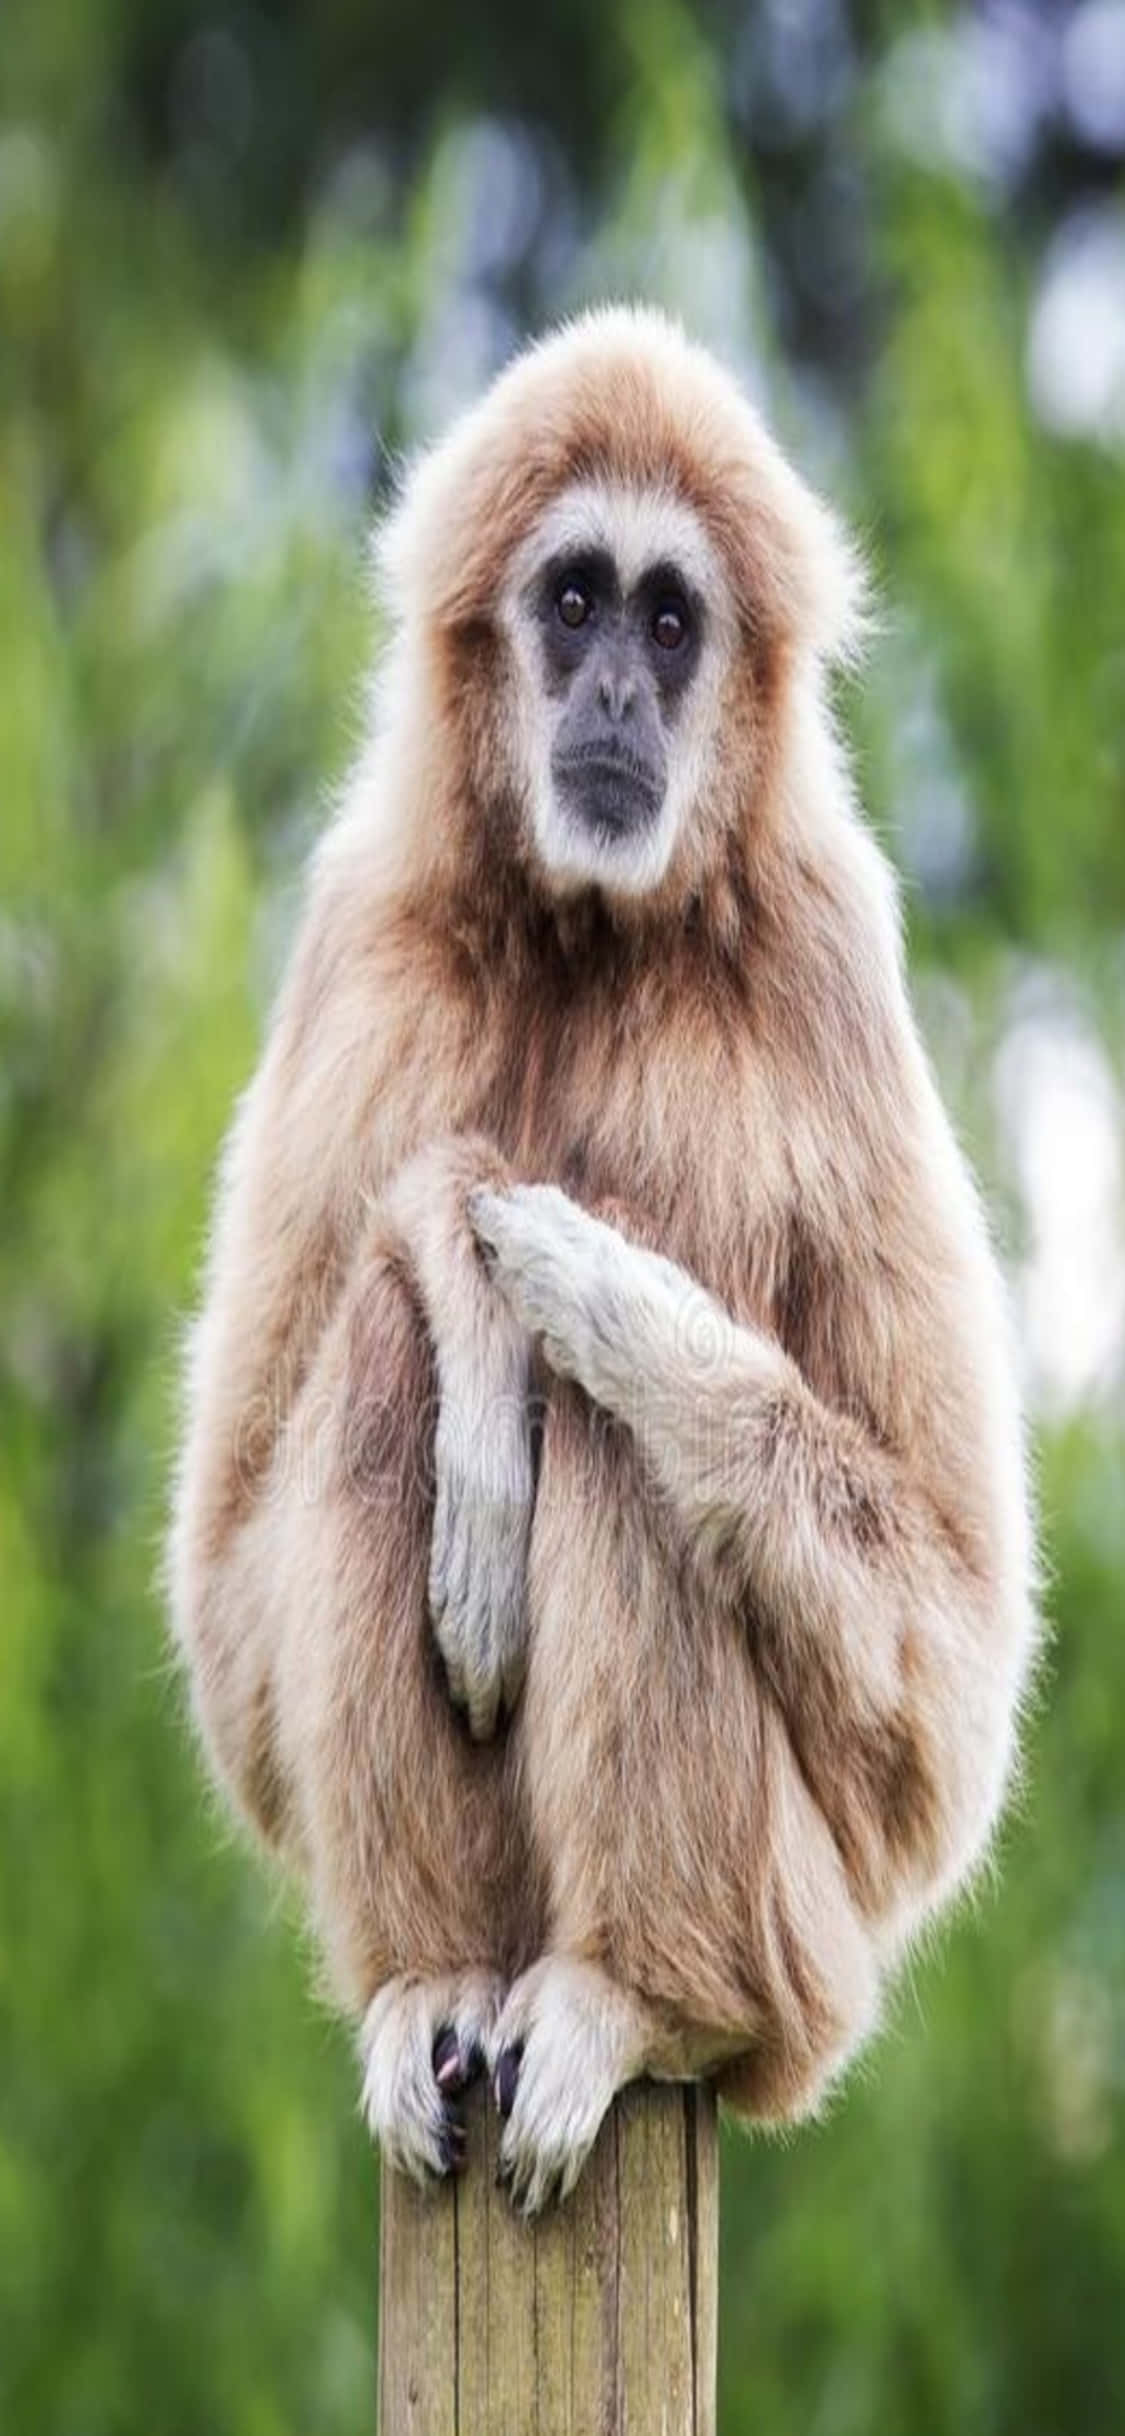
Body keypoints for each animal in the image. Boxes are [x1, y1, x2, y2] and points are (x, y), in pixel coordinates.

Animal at [169, 306, 1037, 2217]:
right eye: (572, 602)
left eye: (669, 620)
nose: (620, 696)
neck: (589, 931)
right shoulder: (358, 935)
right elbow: (230, 1633)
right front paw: (465, 1239)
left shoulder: (832, 952)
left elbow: (941, 1694)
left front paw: (579, 1277)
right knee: (382, 1357)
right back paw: (431, 1977)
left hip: (815, 1952)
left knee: (637, 1449)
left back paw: (645, 1997)